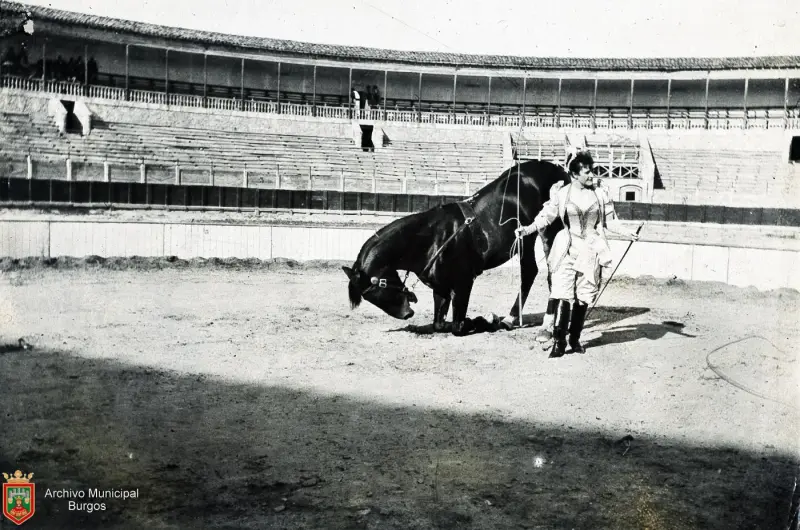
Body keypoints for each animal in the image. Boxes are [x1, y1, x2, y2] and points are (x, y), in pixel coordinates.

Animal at [342, 159, 568, 335]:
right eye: (370, 297)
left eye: (379, 287)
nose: (407, 314)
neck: (433, 240)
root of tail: (557, 169)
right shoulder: (441, 288)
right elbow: (439, 324)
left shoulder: (463, 284)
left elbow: (458, 326)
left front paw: (483, 320)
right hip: (524, 240)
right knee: (530, 271)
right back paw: (513, 318)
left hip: (549, 232)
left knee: (551, 273)